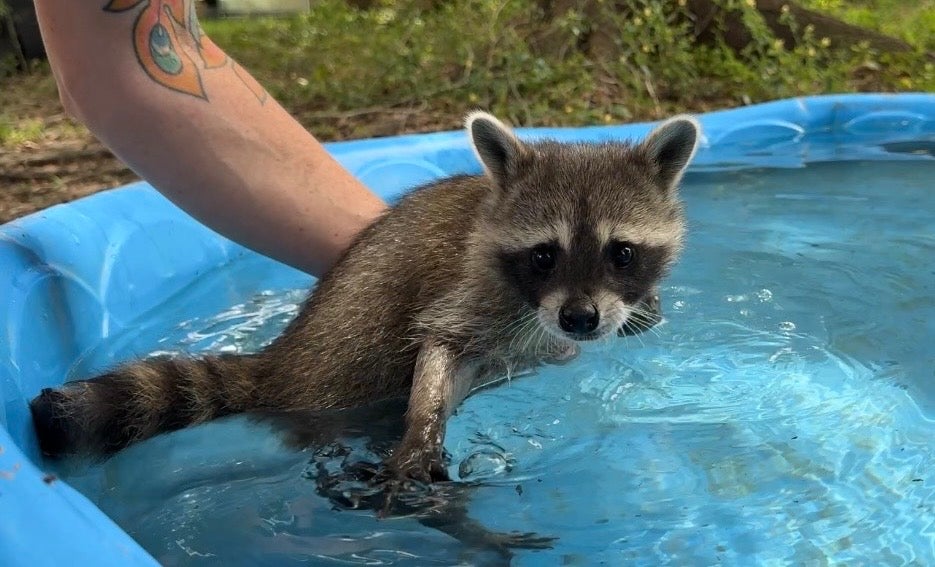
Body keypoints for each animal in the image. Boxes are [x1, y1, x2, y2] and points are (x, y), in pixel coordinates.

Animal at [31, 112, 699, 486]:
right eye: (544, 255)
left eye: (621, 253)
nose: (579, 320)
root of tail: (288, 356)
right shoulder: (476, 291)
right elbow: (437, 341)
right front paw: (423, 428)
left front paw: (642, 308)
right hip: (343, 372)